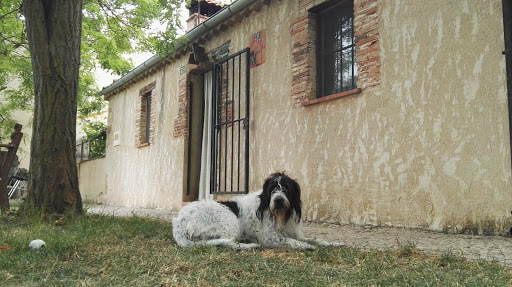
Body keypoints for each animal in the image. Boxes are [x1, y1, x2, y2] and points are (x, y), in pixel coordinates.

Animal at [172, 172, 340, 251]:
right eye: (272, 189)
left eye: (286, 188)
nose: (278, 200)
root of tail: (179, 224)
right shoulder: (271, 238)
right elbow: (292, 241)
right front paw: (306, 246)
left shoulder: (292, 232)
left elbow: (314, 239)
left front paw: (333, 242)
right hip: (229, 220)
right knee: (228, 243)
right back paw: (249, 245)